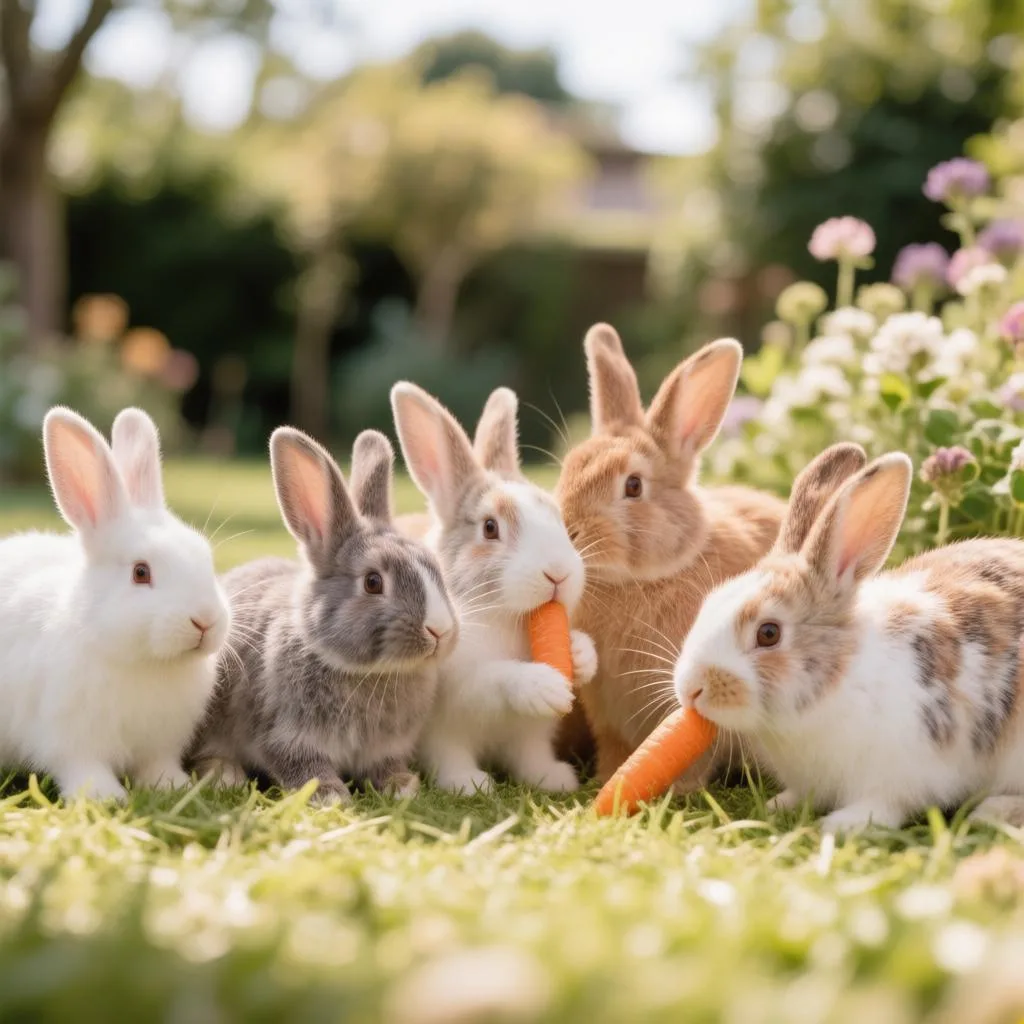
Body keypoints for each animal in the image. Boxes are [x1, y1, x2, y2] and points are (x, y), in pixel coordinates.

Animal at [0, 406, 229, 801]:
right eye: (141, 572)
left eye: (205, 556)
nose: (205, 620)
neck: (145, 663)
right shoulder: (71, 739)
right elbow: (82, 767)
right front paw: (105, 798)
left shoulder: (159, 744)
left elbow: (156, 766)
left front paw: (175, 787)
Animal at [188, 426, 458, 804]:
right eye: (373, 582)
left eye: (435, 567)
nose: (440, 630)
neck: (368, 673)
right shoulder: (287, 736)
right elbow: (305, 766)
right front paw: (330, 796)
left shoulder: (386, 747)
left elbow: (385, 766)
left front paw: (402, 786)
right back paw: (225, 774)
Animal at [390, 383, 598, 795]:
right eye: (490, 528)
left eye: (558, 517)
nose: (558, 573)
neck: (505, 617)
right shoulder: (454, 694)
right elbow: (495, 678)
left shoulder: (528, 734)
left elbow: (529, 753)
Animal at [555, 323, 786, 786]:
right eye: (568, 469)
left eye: (633, 486)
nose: (566, 530)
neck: (636, 580)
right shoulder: (608, 719)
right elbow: (615, 749)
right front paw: (607, 780)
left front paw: (679, 789)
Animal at [673, 441, 1024, 833]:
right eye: (709, 603)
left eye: (768, 633)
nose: (691, 689)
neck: (840, 678)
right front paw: (780, 804)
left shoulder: (906, 771)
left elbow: (886, 805)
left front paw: (842, 825)